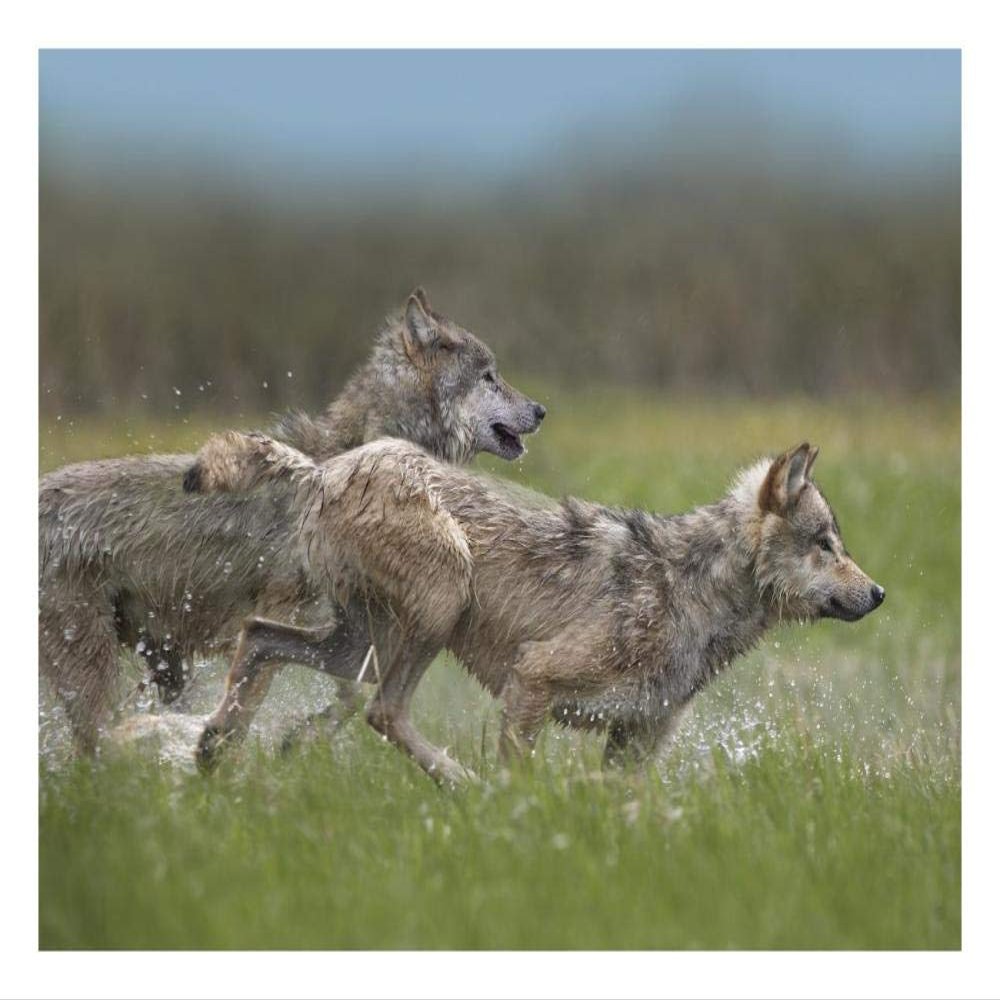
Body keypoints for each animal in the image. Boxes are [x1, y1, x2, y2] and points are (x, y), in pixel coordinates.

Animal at [39, 289, 545, 752]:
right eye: (489, 377)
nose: (541, 410)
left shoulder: (339, 629)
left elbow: (346, 695)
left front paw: (295, 740)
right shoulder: (284, 614)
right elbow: (261, 698)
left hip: (158, 658)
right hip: (98, 665)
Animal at [189, 433, 885, 784]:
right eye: (826, 545)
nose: (879, 594)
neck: (691, 591)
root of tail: (324, 469)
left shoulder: (636, 742)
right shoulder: (533, 681)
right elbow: (520, 785)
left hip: (358, 649)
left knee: (259, 638)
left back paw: (215, 751)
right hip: (437, 607)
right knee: (382, 712)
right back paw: (460, 784)